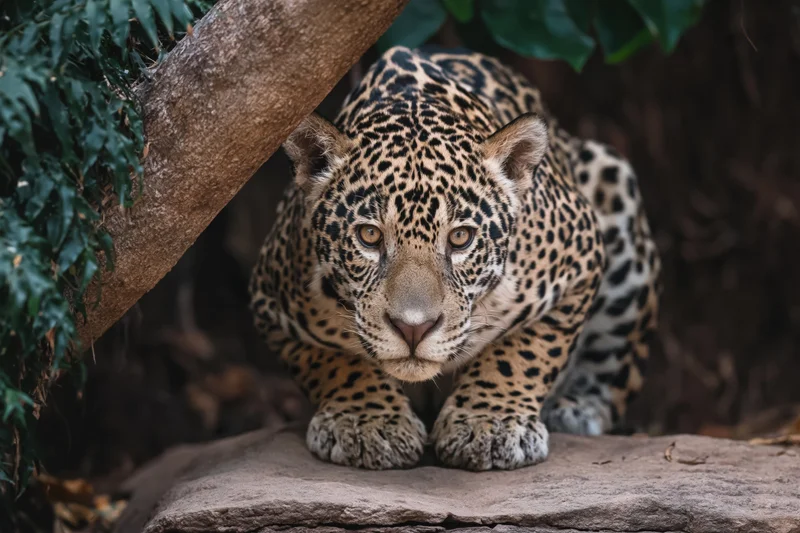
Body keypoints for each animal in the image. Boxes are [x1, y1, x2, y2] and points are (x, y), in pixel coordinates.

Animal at [249, 46, 661, 471]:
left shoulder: (581, 256)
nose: (413, 329)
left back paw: (576, 410)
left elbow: (526, 349)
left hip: (614, 188)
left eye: (460, 238)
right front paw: (366, 421)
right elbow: (333, 359)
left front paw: (490, 423)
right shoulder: (270, 301)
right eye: (369, 236)